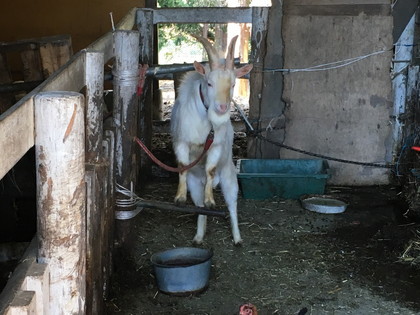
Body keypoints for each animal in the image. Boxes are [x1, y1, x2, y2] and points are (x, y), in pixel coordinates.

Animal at [170, 35, 253, 247]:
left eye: (233, 84)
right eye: (208, 83)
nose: (222, 108)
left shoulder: (215, 145)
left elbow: (210, 169)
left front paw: (211, 200)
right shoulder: (181, 141)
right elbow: (182, 165)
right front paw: (179, 197)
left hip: (230, 177)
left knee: (232, 205)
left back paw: (237, 238)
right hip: (195, 184)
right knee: (199, 207)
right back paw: (199, 236)